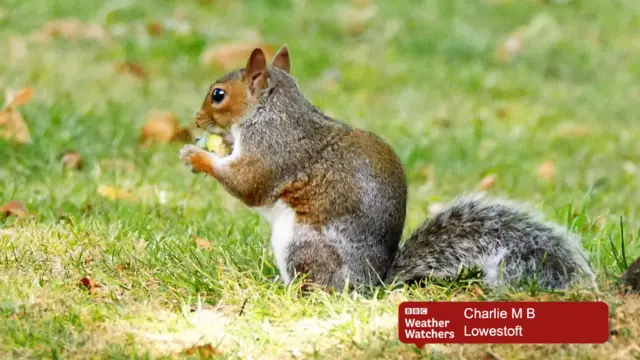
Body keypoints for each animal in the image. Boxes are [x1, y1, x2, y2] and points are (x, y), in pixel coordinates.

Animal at [179, 45, 596, 292]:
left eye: (218, 95)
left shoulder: (274, 150)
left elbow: (248, 184)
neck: (270, 111)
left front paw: (197, 156)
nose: (197, 120)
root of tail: (374, 284)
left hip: (300, 243)